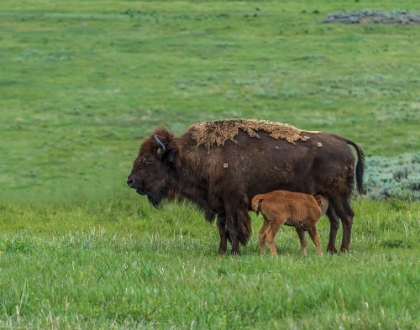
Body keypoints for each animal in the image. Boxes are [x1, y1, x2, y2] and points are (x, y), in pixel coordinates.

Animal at [125, 119, 364, 255]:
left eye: (149, 159)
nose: (130, 181)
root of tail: (341, 141)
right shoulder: (220, 204)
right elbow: (222, 229)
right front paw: (222, 252)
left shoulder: (233, 202)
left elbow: (233, 228)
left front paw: (235, 252)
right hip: (326, 197)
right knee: (335, 219)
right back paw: (332, 249)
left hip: (338, 195)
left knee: (347, 217)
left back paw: (343, 249)